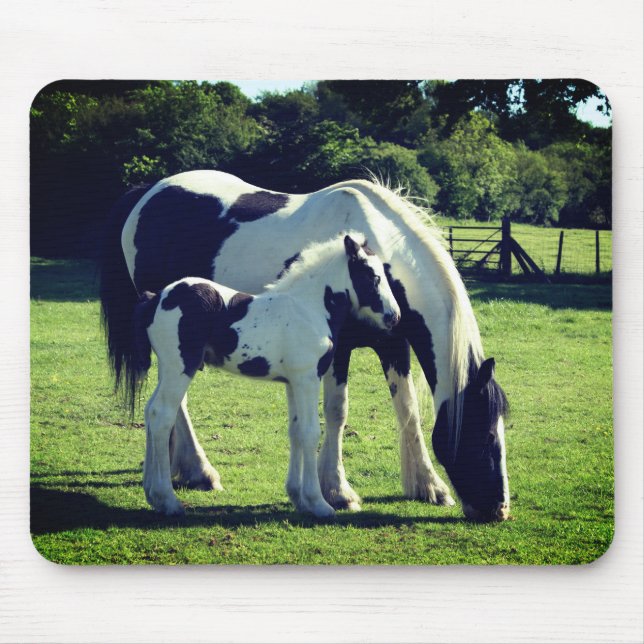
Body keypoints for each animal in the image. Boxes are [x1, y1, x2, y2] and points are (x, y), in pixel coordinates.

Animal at [132, 233, 401, 517]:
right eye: (372, 276)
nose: (394, 317)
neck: (309, 308)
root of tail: (156, 298)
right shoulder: (307, 378)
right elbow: (310, 432)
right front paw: (318, 503)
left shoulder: (292, 382)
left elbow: (295, 431)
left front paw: (298, 498)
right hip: (180, 367)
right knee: (161, 415)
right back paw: (168, 500)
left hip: (167, 367)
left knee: (150, 411)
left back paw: (152, 493)